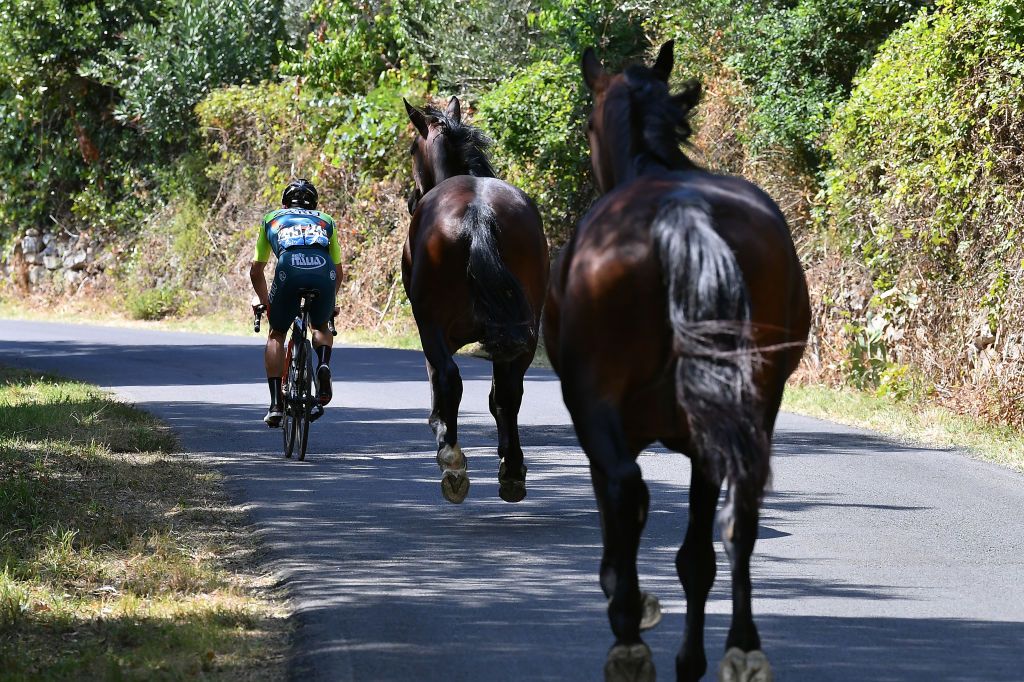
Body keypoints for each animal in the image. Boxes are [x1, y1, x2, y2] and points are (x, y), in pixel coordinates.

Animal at [403, 96, 549, 505]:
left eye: (412, 149)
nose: (410, 198)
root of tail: (478, 211)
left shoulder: (432, 329)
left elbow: (437, 378)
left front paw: (440, 428)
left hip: (433, 322)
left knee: (451, 379)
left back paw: (453, 462)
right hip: (525, 331)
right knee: (509, 392)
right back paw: (512, 470)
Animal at [542, 42, 811, 681]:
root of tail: (680, 209)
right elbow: (698, 554)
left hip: (596, 402)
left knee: (626, 493)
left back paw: (629, 637)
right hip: (748, 402)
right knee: (735, 520)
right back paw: (737, 648)